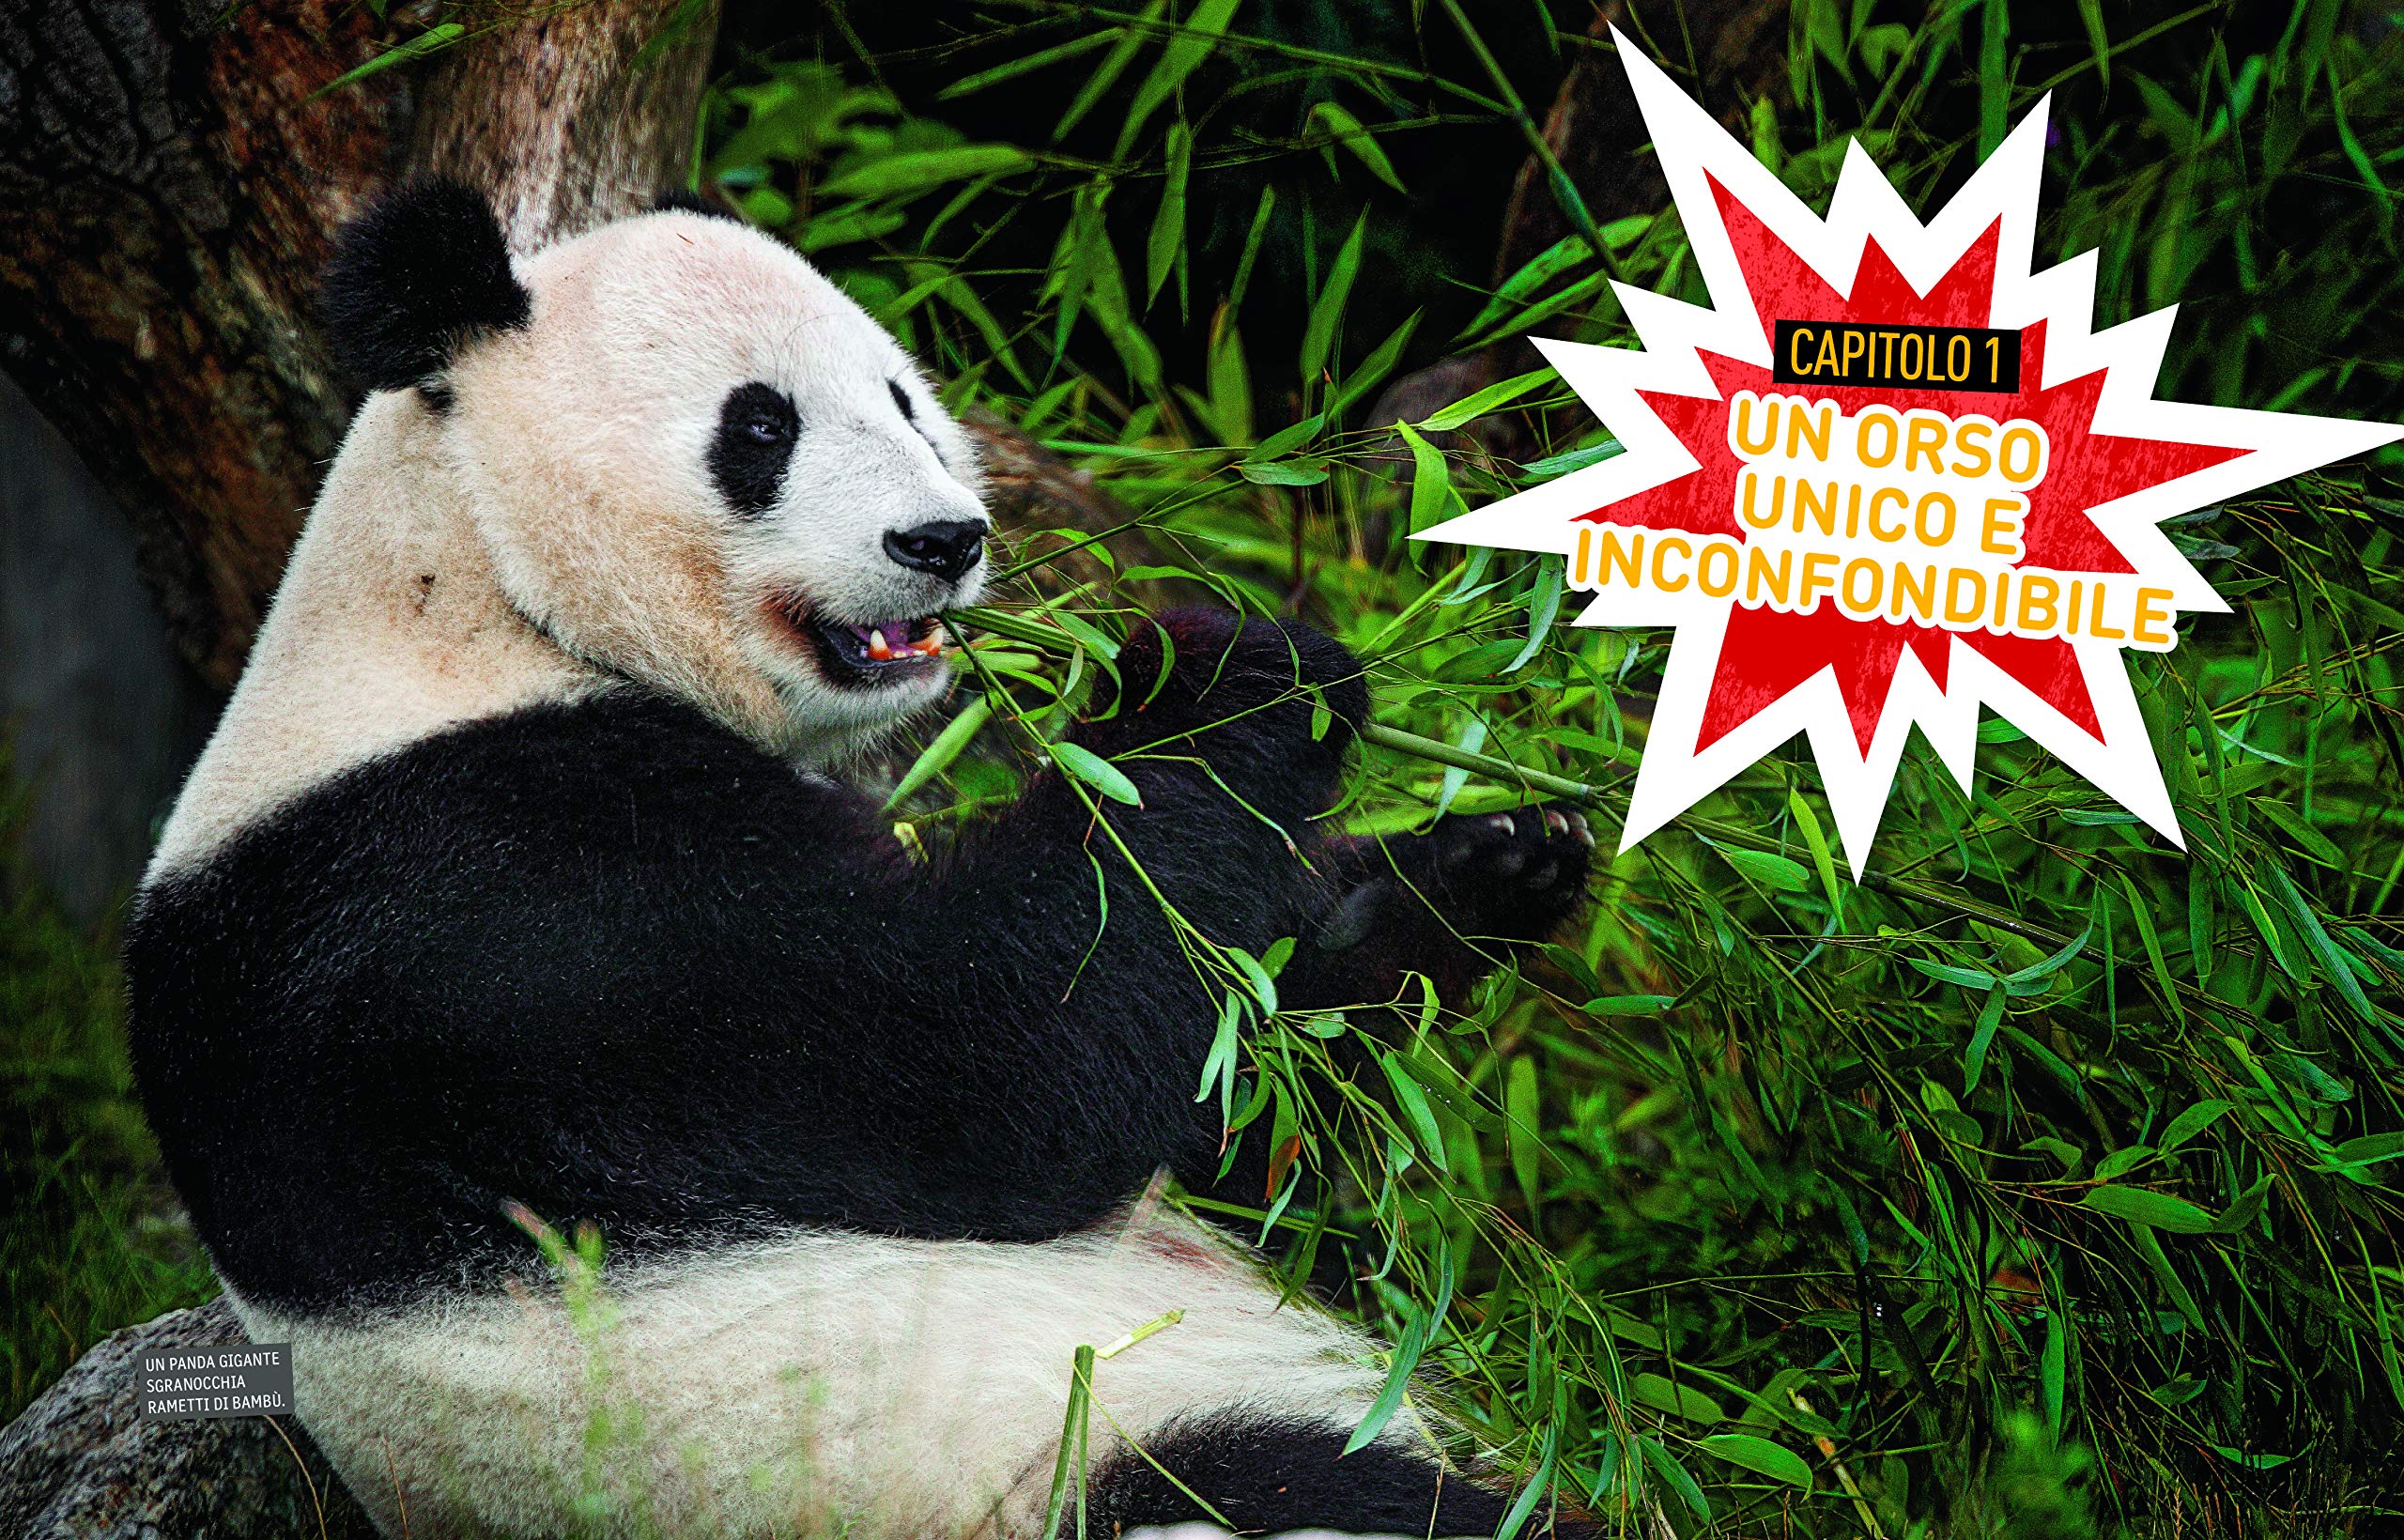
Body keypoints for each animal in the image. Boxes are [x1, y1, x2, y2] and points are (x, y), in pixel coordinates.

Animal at [124, 180, 1600, 1539]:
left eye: (903, 399)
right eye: (760, 426)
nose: (943, 542)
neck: (470, 586)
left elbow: (1237, 1119)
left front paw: (1480, 869)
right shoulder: (499, 887)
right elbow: (995, 1061)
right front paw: (1231, 675)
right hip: (1069, 1449)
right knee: (1298, 1492)